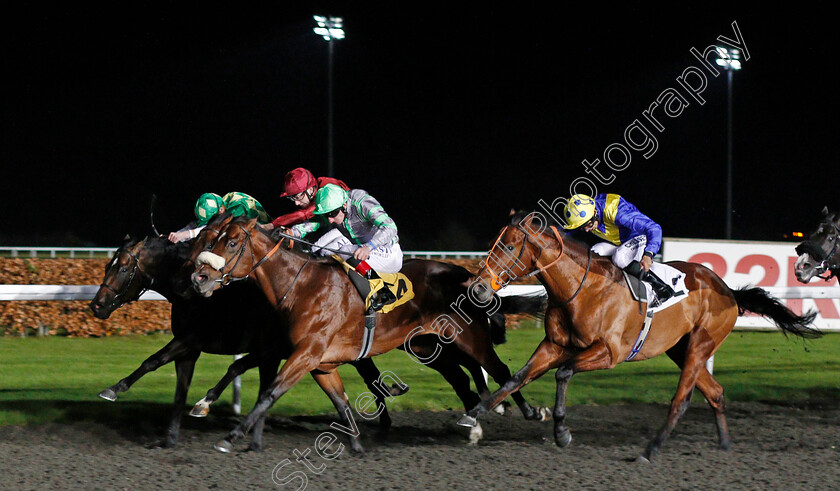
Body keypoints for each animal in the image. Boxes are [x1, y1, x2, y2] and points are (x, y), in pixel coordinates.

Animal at [91, 231, 404, 450]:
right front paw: (170, 436)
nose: (96, 305)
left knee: (371, 380)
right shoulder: (193, 347)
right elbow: (175, 385)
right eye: (106, 266)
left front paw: (115, 389)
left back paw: (383, 426)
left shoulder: (199, 339)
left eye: (122, 268)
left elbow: (157, 361)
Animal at [187, 217, 548, 456]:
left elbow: (269, 392)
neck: (301, 286)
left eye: (231, 243)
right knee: (460, 377)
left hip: (469, 338)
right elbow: (340, 401)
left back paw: (529, 412)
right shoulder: (318, 361)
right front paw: (357, 444)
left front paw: (231, 436)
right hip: (425, 345)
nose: (198, 277)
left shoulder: (305, 354)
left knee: (498, 369)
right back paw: (474, 422)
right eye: (211, 240)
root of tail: (470, 275)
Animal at [460, 210, 820, 462]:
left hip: (700, 344)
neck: (582, 288)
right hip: (680, 348)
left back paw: (652, 448)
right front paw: (475, 413)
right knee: (715, 392)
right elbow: (515, 377)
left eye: (508, 246)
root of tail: (728, 290)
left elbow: (563, 373)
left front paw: (561, 432)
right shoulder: (553, 345)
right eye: (492, 244)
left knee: (682, 399)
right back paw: (725, 446)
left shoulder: (609, 353)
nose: (477, 288)